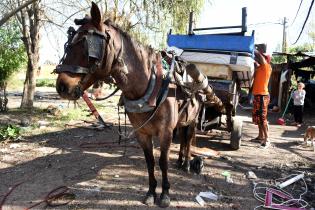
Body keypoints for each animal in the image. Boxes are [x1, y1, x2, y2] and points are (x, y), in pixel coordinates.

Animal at [55, 2, 201, 208]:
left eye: (87, 47)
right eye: (68, 45)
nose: (62, 86)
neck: (149, 87)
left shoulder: (165, 132)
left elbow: (162, 162)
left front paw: (165, 193)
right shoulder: (142, 133)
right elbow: (150, 162)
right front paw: (151, 192)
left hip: (193, 120)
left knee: (188, 140)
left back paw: (187, 163)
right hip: (181, 121)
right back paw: (180, 161)